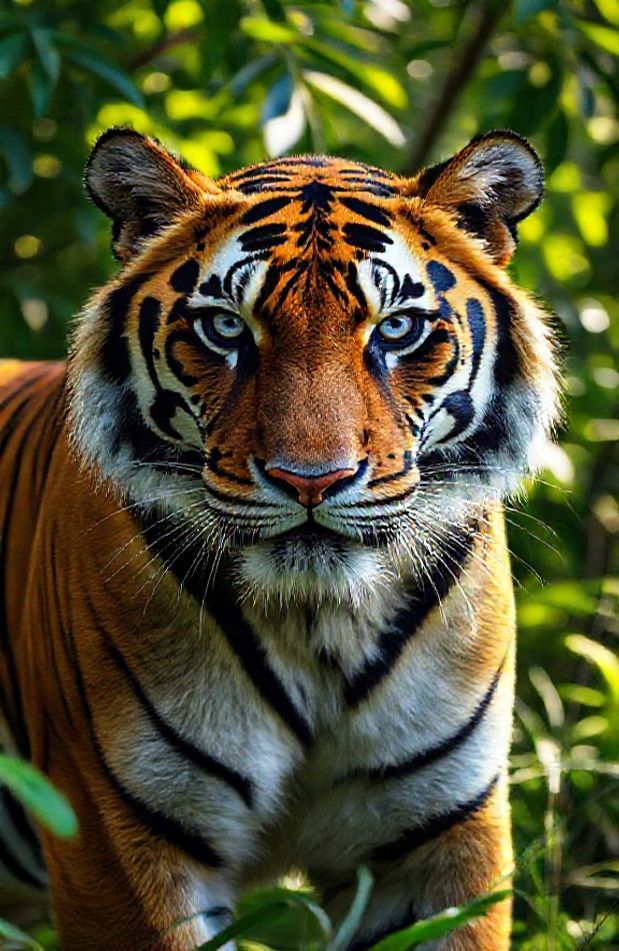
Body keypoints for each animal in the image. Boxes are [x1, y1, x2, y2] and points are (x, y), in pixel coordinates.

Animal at [0, 126, 559, 951]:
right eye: (226, 327)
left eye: (396, 328)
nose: (310, 480)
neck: (320, 623)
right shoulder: (115, 834)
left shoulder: (441, 837)